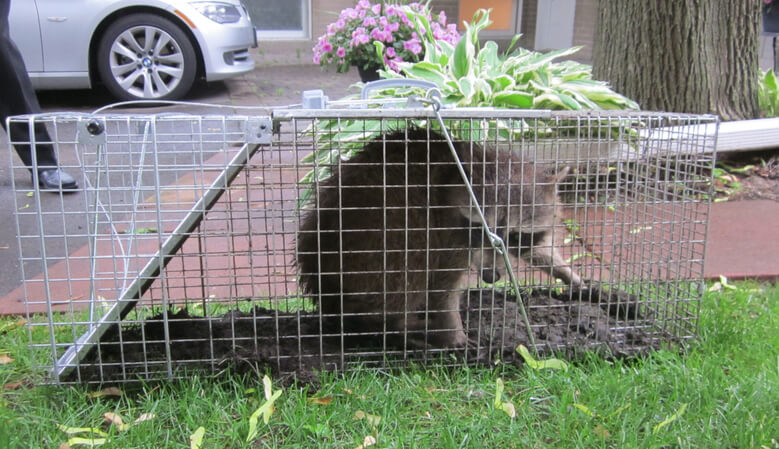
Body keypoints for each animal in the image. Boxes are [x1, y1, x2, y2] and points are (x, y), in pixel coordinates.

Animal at [296, 128, 581, 348]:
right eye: (480, 228)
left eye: (514, 236)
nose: (490, 277)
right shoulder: (448, 228)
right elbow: (443, 285)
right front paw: (453, 332)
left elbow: (537, 250)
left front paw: (565, 272)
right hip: (376, 237)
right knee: (410, 266)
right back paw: (397, 324)